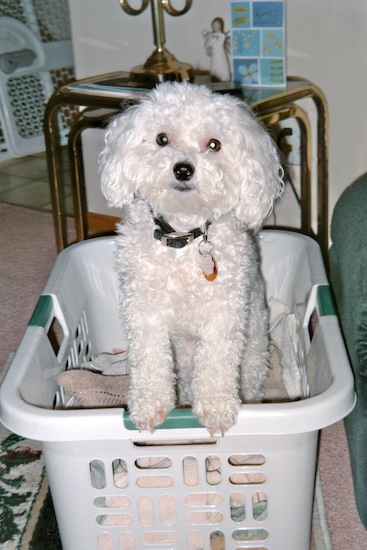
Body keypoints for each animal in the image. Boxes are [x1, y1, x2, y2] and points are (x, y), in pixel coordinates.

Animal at [100, 82, 284, 436]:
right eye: (162, 138)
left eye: (214, 144)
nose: (183, 169)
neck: (182, 238)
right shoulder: (144, 311)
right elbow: (149, 361)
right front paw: (149, 406)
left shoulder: (223, 315)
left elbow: (216, 364)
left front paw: (216, 409)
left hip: (252, 353)